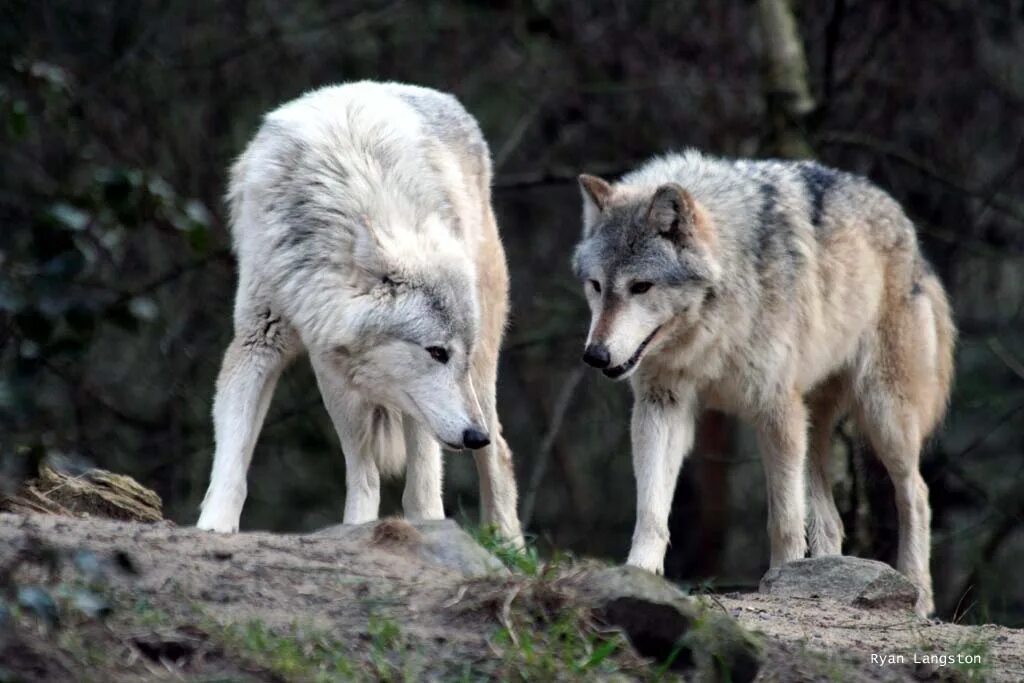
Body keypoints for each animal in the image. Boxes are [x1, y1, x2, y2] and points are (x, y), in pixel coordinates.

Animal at [196, 81, 524, 544]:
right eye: (437, 352)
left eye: (450, 355)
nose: (472, 435)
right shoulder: (259, 338)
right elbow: (232, 456)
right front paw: (213, 527)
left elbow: (424, 481)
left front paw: (427, 524)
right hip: (340, 382)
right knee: (364, 469)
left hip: (473, 376)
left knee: (499, 455)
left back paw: (506, 543)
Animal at [573, 150, 954, 614]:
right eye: (596, 286)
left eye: (641, 287)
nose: (595, 355)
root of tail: (905, 226)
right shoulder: (661, 404)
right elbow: (651, 510)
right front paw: (639, 575)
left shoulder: (776, 409)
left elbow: (785, 520)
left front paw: (784, 581)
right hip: (814, 426)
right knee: (831, 520)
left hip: (884, 418)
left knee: (916, 493)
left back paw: (918, 593)